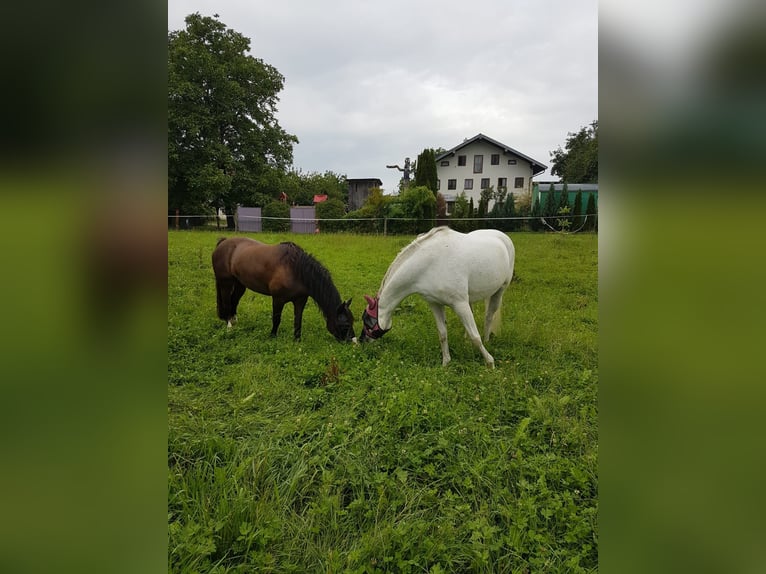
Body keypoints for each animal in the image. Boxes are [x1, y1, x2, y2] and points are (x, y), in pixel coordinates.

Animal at [213, 237, 356, 342]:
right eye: (346, 325)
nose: (354, 342)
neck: (295, 269)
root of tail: (223, 242)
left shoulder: (300, 300)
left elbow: (298, 320)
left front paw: (297, 340)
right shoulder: (278, 299)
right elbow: (276, 319)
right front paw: (272, 336)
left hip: (240, 284)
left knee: (234, 301)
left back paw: (234, 321)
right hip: (225, 283)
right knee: (227, 302)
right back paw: (229, 326)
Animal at [360, 226, 516, 368]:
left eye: (367, 320)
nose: (362, 341)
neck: (431, 264)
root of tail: (502, 236)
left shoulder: (460, 303)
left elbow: (476, 337)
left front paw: (490, 362)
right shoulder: (435, 304)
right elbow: (442, 334)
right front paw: (446, 362)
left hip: (500, 290)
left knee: (489, 316)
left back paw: (487, 340)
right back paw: (466, 341)